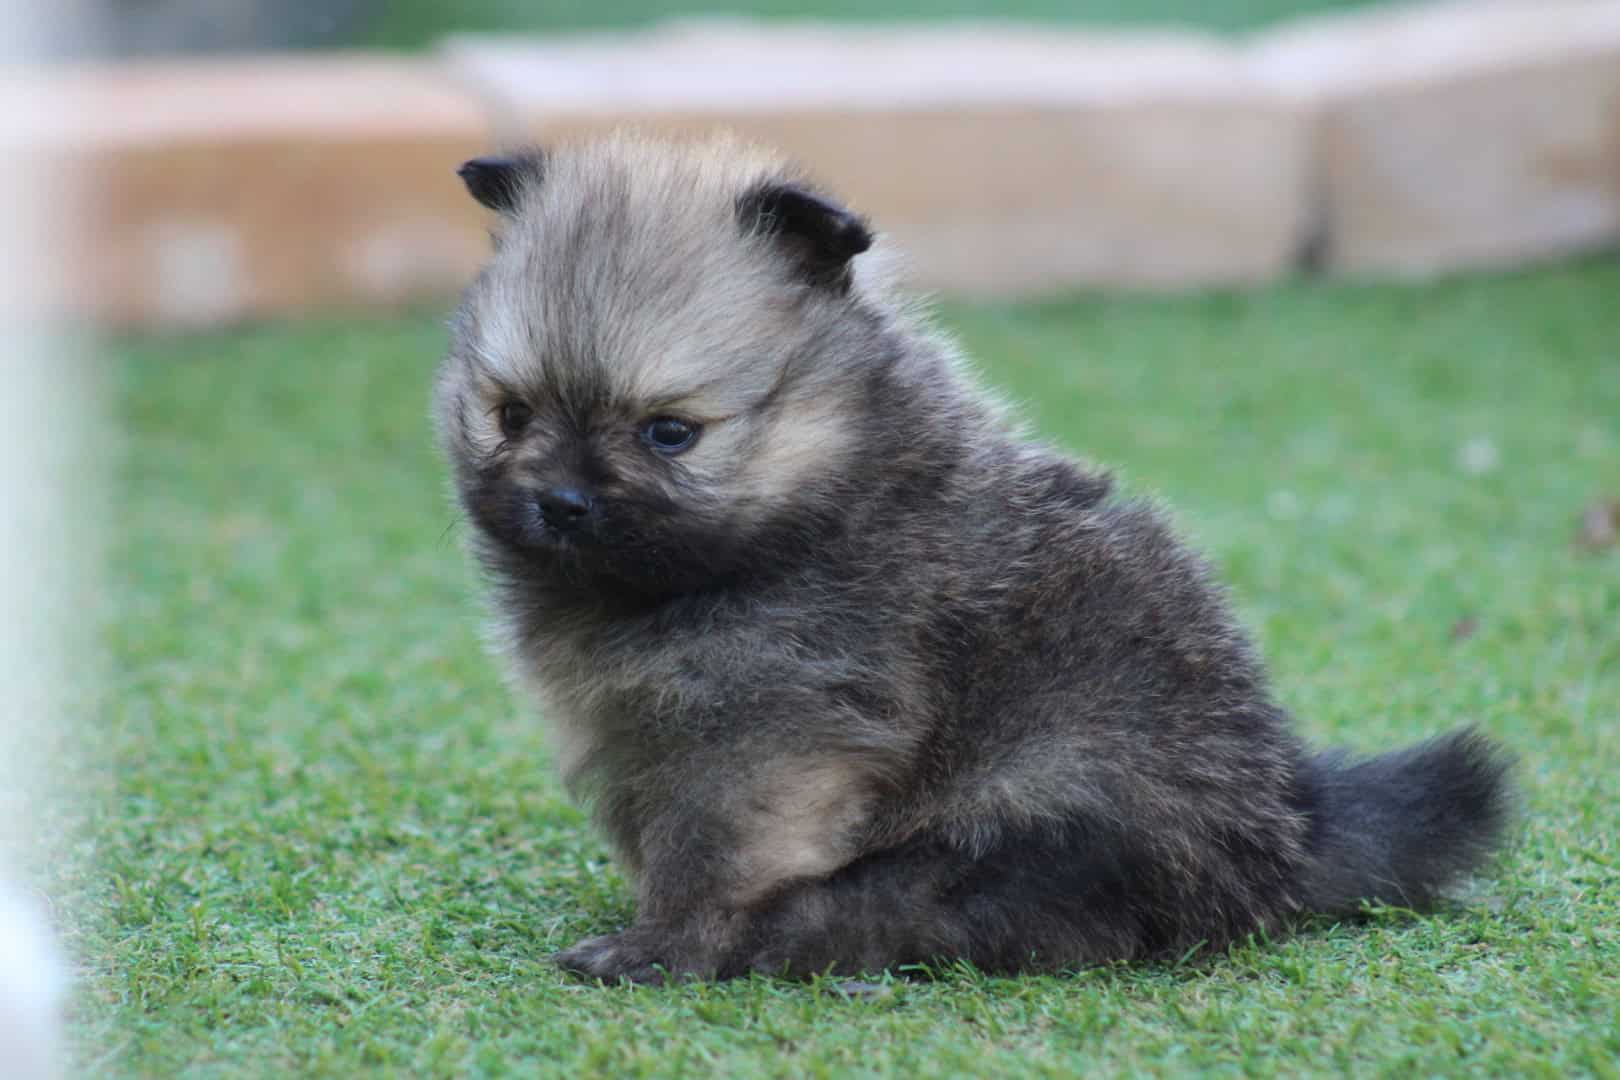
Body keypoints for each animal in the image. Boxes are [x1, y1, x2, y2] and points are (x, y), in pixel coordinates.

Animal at [434, 131, 1516, 984]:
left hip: (1039, 806)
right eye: (512, 414)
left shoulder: (765, 736)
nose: (561, 502)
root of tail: (1288, 837)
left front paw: (663, 949)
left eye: (669, 433)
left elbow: (711, 861)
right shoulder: (638, 734)